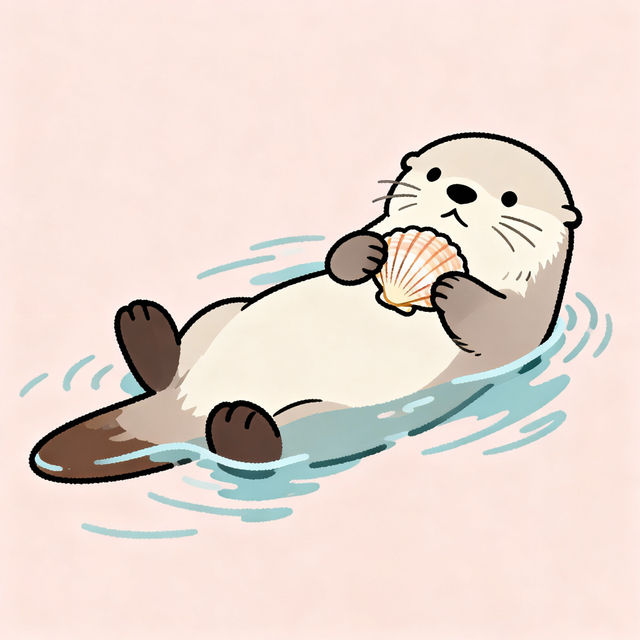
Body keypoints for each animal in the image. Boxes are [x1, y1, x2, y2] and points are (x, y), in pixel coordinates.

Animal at [29, 132, 581, 483]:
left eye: (509, 197)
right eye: (434, 171)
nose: (459, 191)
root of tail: (182, 413)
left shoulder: (527, 314)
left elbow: (494, 328)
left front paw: (451, 283)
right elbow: (341, 254)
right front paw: (366, 253)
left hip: (328, 419)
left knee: (271, 442)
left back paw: (238, 424)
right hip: (221, 314)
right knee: (176, 361)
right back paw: (142, 326)